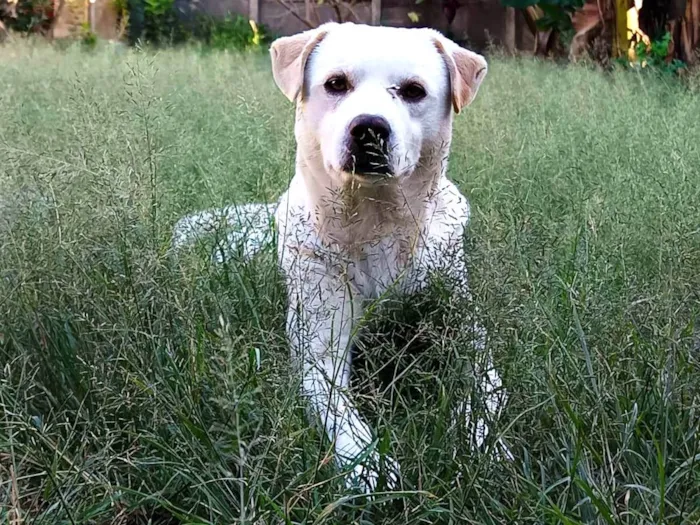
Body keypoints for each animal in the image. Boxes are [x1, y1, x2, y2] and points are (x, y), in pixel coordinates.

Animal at [172, 20, 512, 494]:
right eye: (336, 84)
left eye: (413, 91)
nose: (368, 128)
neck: (375, 222)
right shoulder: (319, 348)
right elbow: (339, 410)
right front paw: (367, 462)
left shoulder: (466, 332)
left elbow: (485, 389)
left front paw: (487, 443)